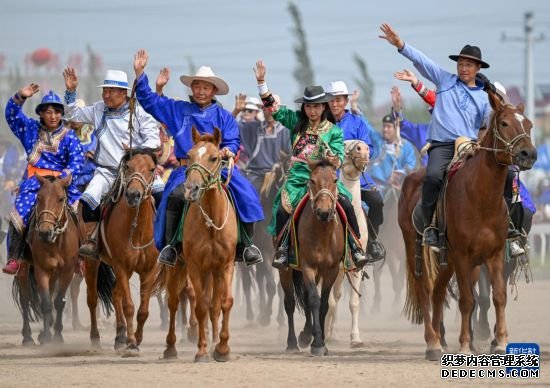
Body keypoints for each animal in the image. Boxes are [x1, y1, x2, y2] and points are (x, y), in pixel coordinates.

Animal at [12, 174, 80, 344]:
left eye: (61, 198)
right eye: (39, 197)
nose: (44, 232)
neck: (56, 242)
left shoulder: (67, 272)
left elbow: (58, 302)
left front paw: (57, 336)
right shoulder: (41, 270)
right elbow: (46, 303)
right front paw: (48, 338)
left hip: (54, 274)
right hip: (24, 267)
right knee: (25, 299)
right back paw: (28, 336)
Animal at [84, 149, 160, 354]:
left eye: (152, 169)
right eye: (128, 166)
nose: (133, 195)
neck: (137, 230)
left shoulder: (149, 270)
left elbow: (143, 310)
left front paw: (137, 339)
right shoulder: (121, 266)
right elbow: (129, 306)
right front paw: (132, 343)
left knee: (115, 292)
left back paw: (119, 336)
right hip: (92, 262)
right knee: (93, 299)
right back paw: (96, 338)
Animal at [156, 127, 240, 360]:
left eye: (214, 157)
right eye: (190, 155)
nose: (191, 189)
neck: (211, 223)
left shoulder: (226, 265)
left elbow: (223, 303)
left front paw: (221, 348)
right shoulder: (194, 266)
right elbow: (200, 305)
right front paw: (202, 350)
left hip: (212, 272)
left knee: (213, 306)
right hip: (177, 266)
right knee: (173, 302)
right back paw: (170, 347)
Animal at [280, 157, 344, 354]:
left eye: (335, 180)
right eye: (312, 180)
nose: (324, 212)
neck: (322, 234)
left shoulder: (331, 270)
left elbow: (323, 304)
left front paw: (320, 340)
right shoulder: (307, 266)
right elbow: (315, 300)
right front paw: (317, 344)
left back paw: (306, 335)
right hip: (286, 271)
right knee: (290, 303)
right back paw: (292, 342)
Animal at [402, 88, 540, 360]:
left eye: (529, 124)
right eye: (504, 123)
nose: (528, 154)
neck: (480, 196)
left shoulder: (494, 255)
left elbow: (497, 297)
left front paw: (499, 341)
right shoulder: (462, 256)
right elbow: (467, 300)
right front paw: (465, 344)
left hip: (448, 261)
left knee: (438, 292)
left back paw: (440, 342)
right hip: (417, 252)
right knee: (425, 292)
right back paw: (432, 342)